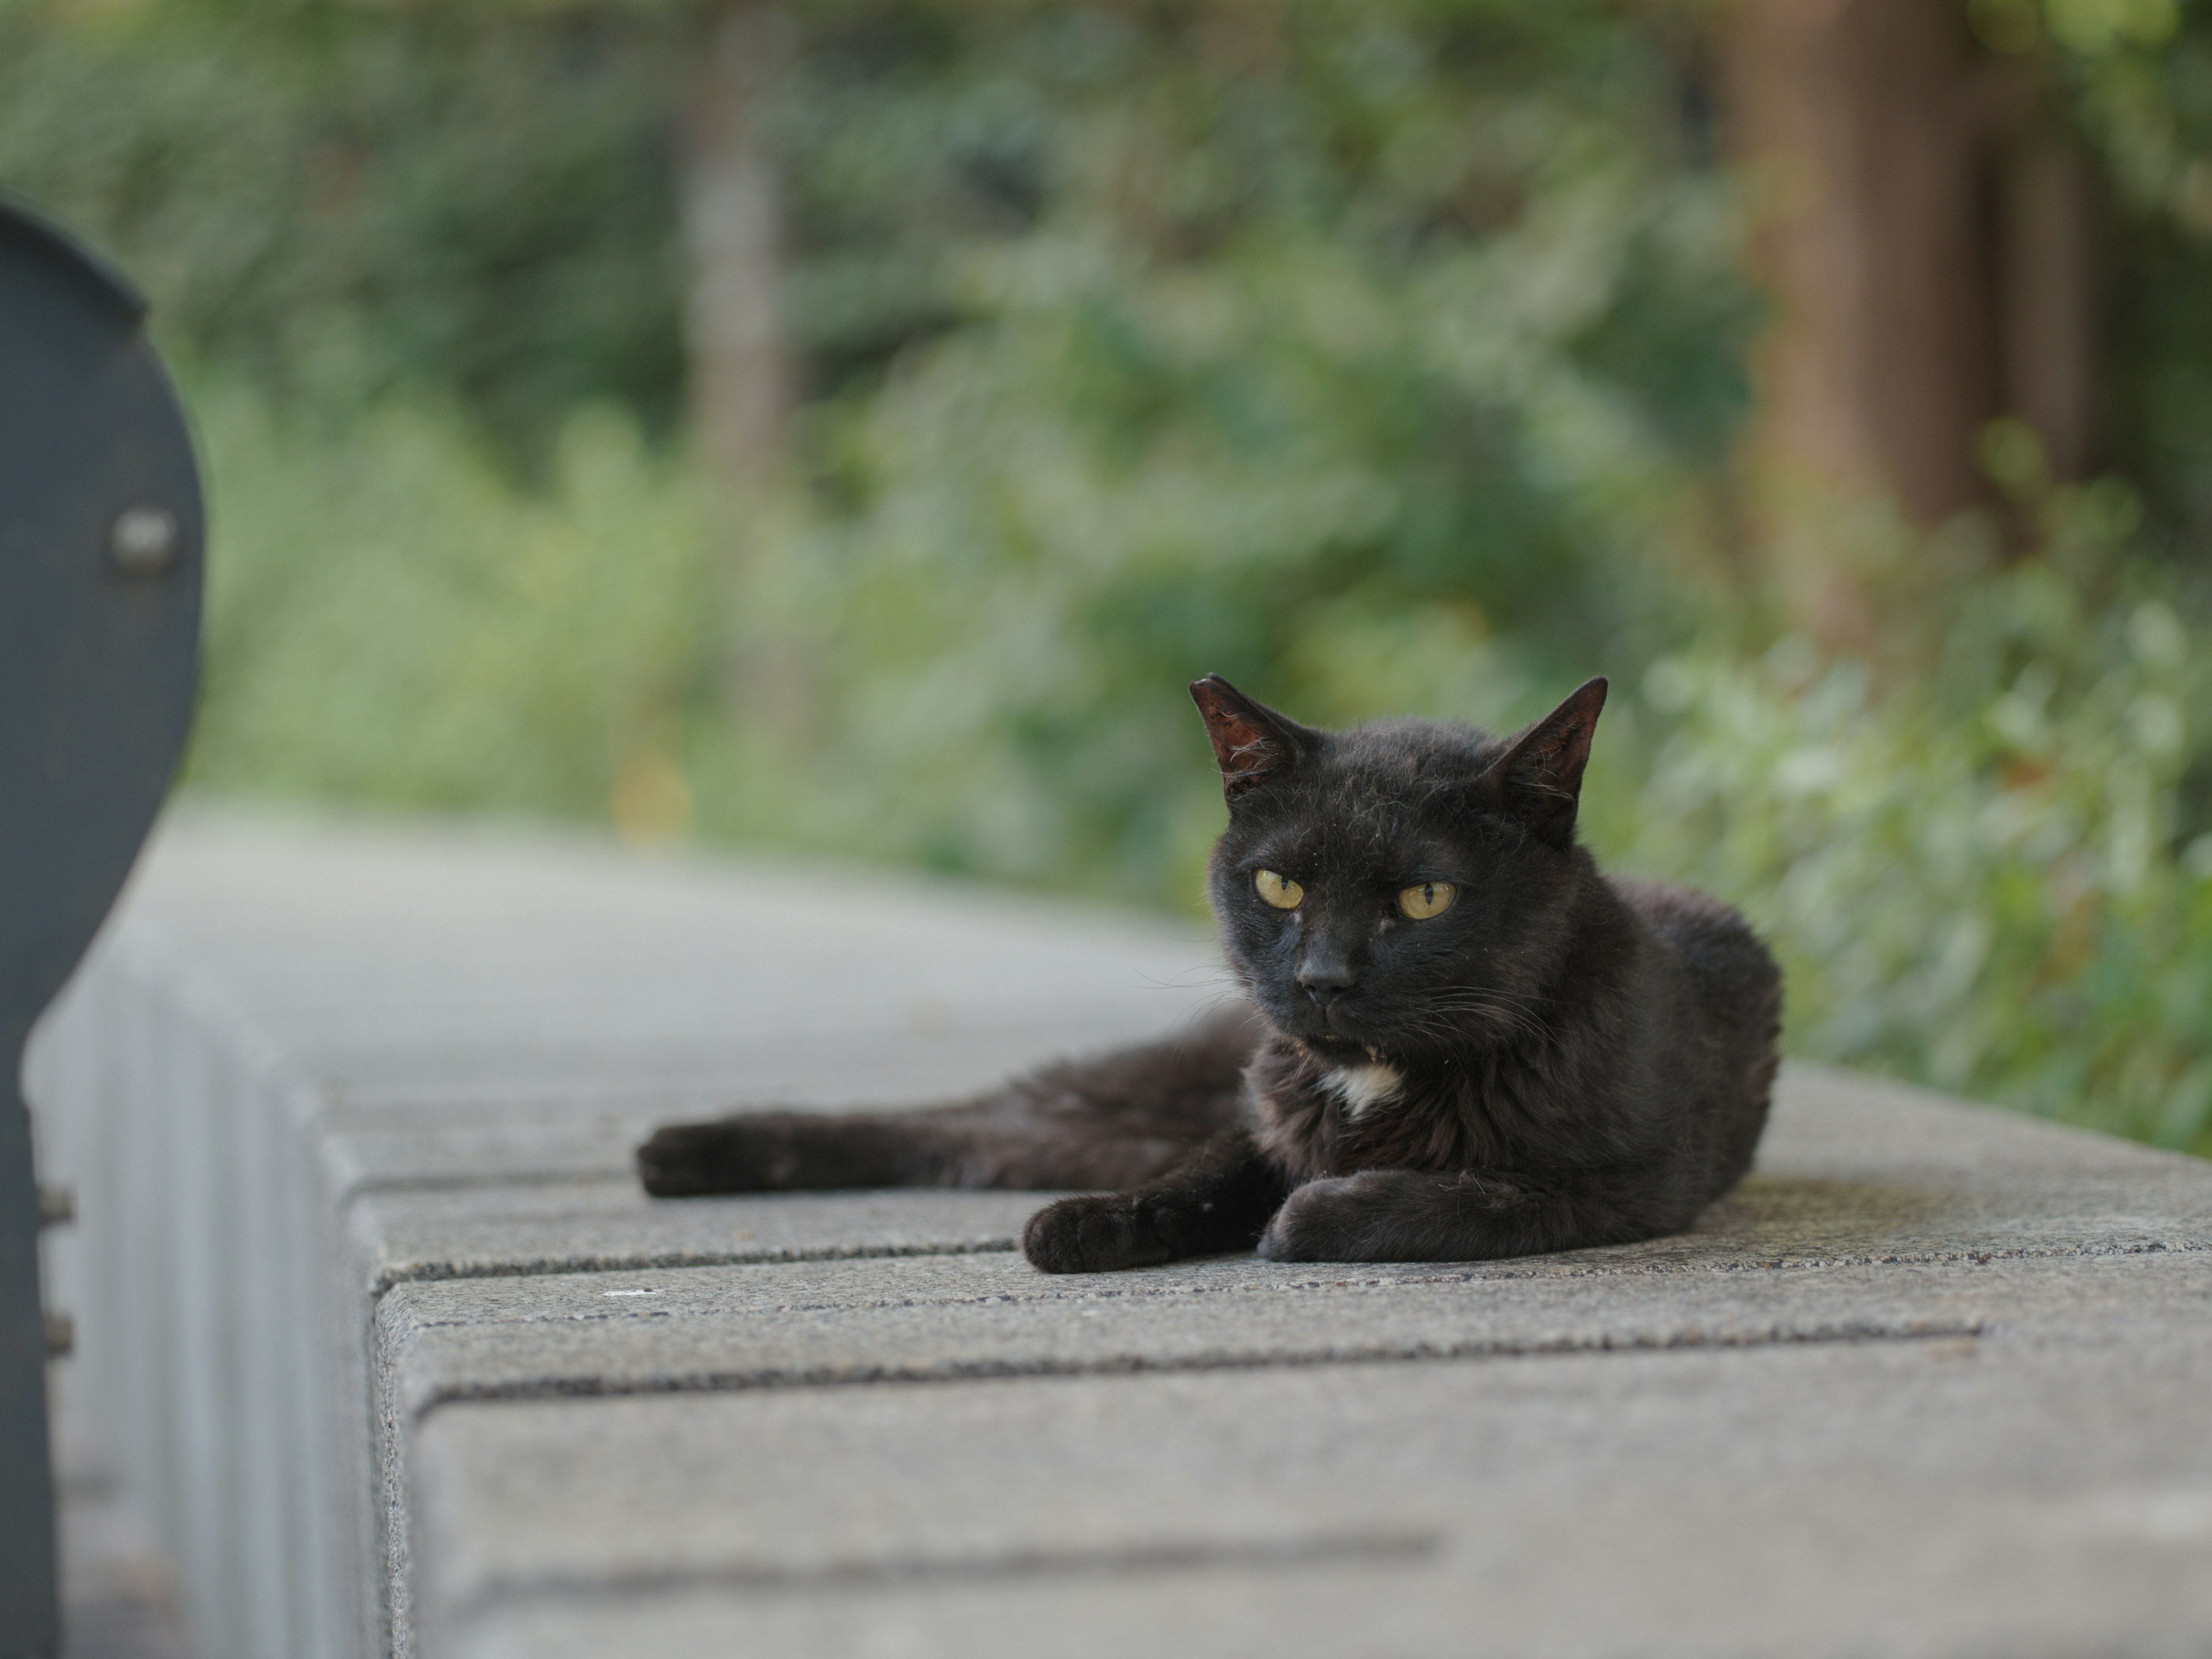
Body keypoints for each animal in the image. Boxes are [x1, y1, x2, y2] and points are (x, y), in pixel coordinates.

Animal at [641, 677, 1778, 1274]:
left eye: (1423, 899)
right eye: (1279, 885)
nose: (1323, 976)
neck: (1374, 1084)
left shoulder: (1619, 1184)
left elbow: (1461, 1198)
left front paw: (1311, 1217)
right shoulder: (1262, 1118)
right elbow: (1203, 1176)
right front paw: (1098, 1223)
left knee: (968, 1137)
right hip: (1144, 1086)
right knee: (961, 1117)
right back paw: (682, 1150)